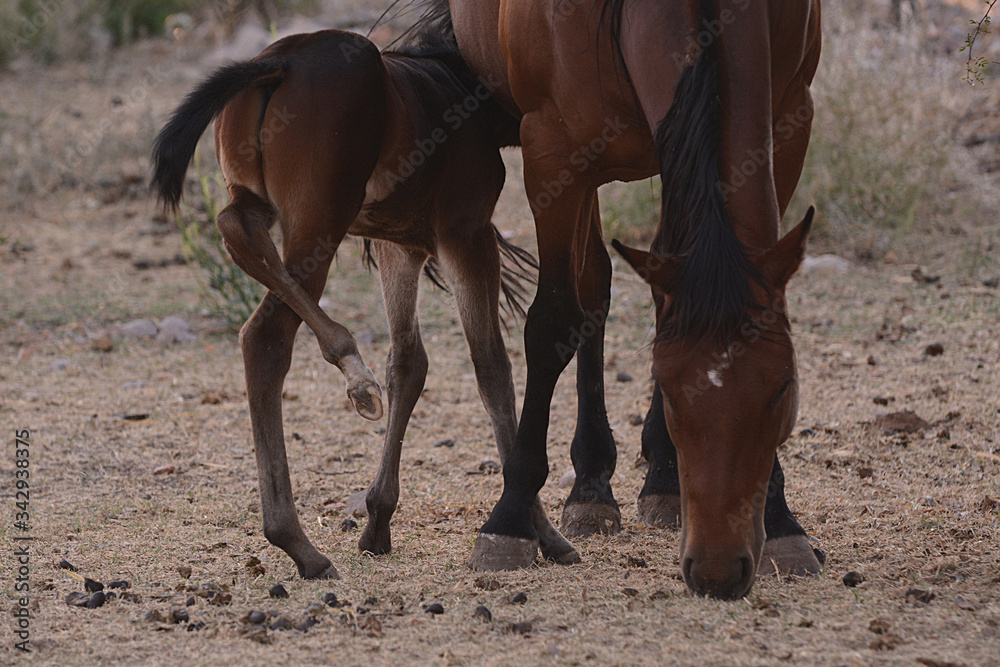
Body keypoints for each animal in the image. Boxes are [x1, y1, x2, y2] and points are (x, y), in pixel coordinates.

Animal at [151, 28, 580, 579]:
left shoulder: (400, 245)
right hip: (321, 222)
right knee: (265, 335)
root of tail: (280, 61)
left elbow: (409, 363)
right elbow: (492, 369)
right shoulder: (466, 234)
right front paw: (538, 533)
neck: (456, 82)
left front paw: (378, 522)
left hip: (270, 204)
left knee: (238, 232)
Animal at [397, 0, 823, 598]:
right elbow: (553, 323)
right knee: (593, 285)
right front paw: (509, 520)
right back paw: (590, 487)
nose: (717, 569)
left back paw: (660, 479)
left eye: (784, 388)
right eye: (672, 392)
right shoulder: (553, 148)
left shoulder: (790, 119)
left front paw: (782, 520)